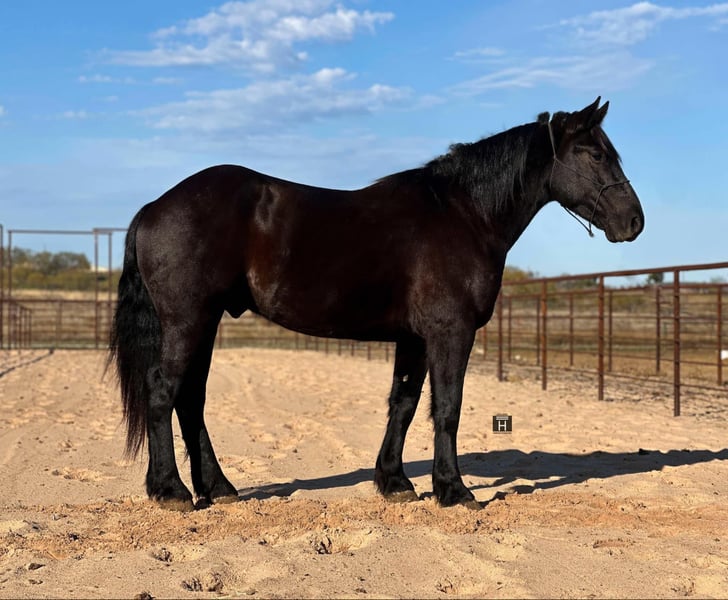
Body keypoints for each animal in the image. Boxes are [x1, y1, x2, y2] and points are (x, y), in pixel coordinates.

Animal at [109, 97, 644, 511]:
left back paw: (217, 488)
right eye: (595, 154)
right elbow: (447, 408)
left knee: (191, 399)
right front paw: (454, 490)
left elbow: (403, 404)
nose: (634, 222)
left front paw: (395, 482)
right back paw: (172, 491)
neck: (463, 214)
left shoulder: (414, 338)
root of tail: (155, 208)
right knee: (164, 392)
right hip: (188, 320)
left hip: (205, 321)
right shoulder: (450, 333)